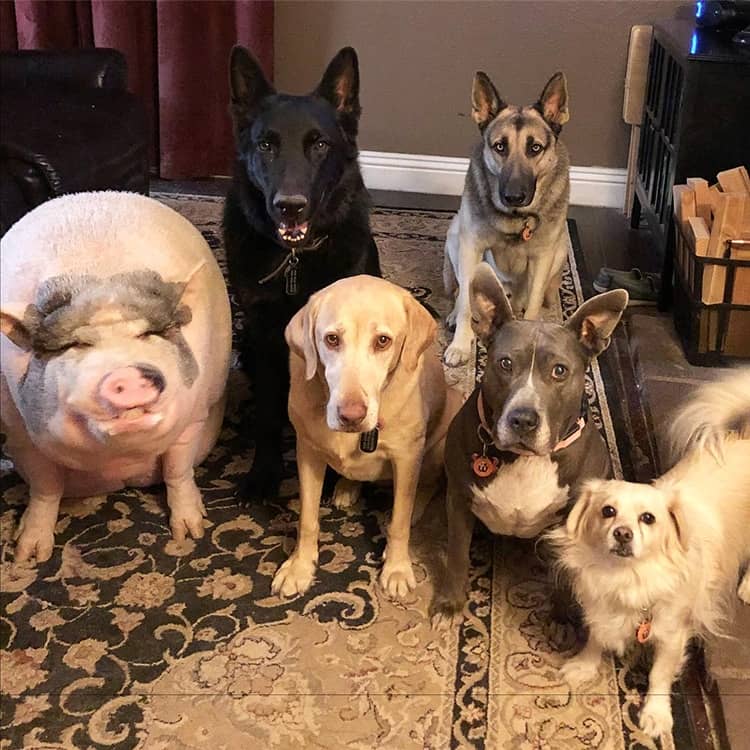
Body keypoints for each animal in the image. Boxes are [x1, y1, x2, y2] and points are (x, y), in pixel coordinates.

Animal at [0, 191, 232, 562]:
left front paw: (191, 532)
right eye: (75, 344)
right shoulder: (18, 432)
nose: (129, 373)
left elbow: (178, 469)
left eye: (149, 333)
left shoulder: (195, 416)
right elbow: (45, 486)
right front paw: (29, 555)